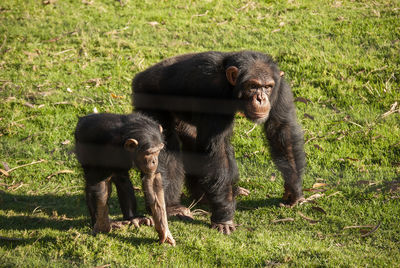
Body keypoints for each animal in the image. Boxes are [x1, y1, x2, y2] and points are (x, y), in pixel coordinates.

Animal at [74, 112, 177, 246]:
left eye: (158, 151)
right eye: (148, 153)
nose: (154, 161)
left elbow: (154, 179)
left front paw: (164, 230)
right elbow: (101, 184)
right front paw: (103, 226)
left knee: (122, 180)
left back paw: (133, 218)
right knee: (92, 182)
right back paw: (97, 221)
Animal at [132, 50, 306, 234]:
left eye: (267, 87)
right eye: (253, 86)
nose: (261, 98)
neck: (231, 88)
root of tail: (140, 76)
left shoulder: (281, 89)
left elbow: (282, 129)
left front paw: (293, 190)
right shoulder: (212, 92)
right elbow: (218, 150)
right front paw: (224, 218)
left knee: (192, 140)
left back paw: (208, 194)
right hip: (147, 100)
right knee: (166, 150)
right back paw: (172, 206)